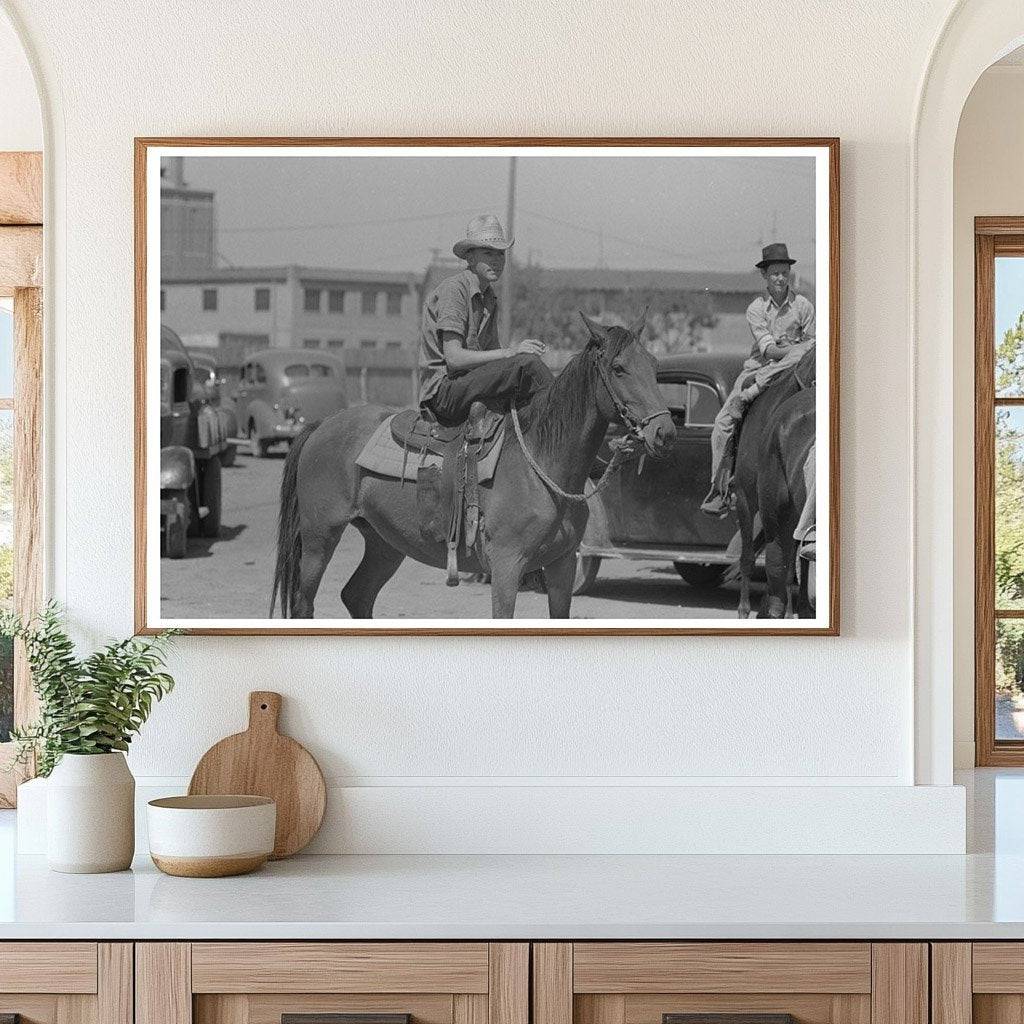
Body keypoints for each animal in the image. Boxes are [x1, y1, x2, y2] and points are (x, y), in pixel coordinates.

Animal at [268, 309, 675, 614]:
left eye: (654, 365)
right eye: (619, 368)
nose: (665, 432)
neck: (541, 464)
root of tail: (322, 425)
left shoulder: (562, 567)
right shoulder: (507, 567)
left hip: (385, 541)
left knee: (357, 595)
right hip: (319, 537)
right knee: (305, 603)